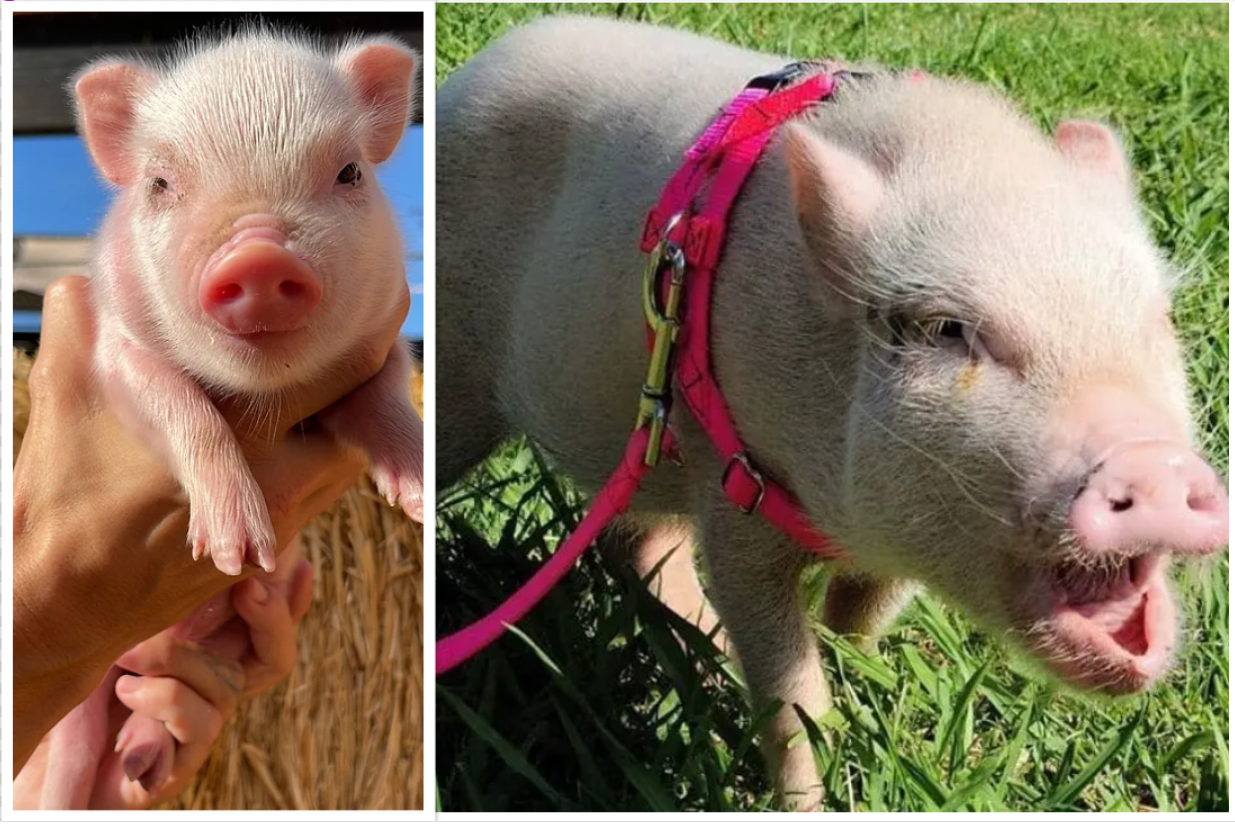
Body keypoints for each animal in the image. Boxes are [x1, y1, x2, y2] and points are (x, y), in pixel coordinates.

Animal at [37, 26, 423, 808]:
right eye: (160, 184)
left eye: (349, 173)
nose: (258, 254)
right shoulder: (115, 349)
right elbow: (179, 405)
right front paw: (236, 551)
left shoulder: (380, 338)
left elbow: (386, 393)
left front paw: (419, 492)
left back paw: (143, 758)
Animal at [436, 17, 1228, 810]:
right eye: (947, 330)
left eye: (1158, 320)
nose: (1152, 461)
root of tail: (474, 70)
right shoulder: (733, 479)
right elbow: (789, 690)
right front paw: (810, 793)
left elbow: (863, 612)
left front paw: (862, 676)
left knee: (635, 540)